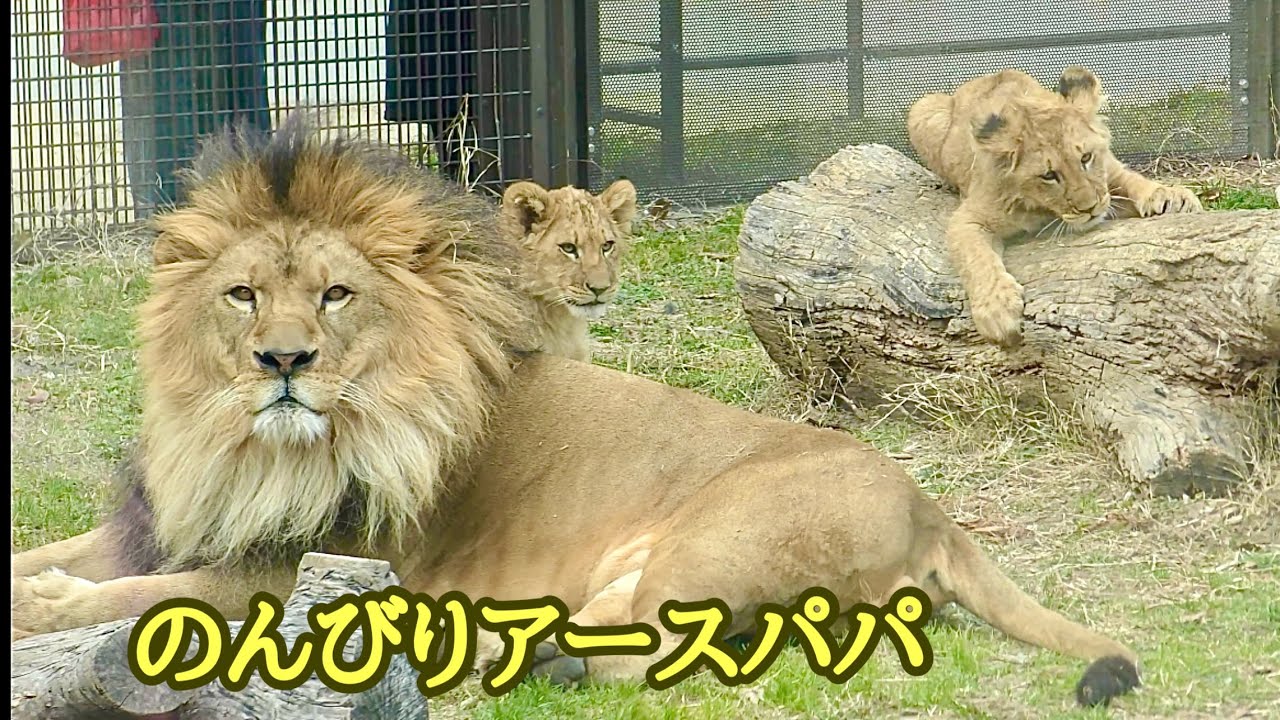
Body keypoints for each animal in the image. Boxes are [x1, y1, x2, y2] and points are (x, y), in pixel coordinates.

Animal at [906, 66, 1202, 347]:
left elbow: (1130, 179)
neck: (1042, 207)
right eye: (1049, 175)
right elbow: (976, 258)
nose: (1090, 209)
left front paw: (1170, 197)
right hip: (922, 108)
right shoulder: (970, 216)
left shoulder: (1109, 173)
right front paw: (997, 312)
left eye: (1086, 157)